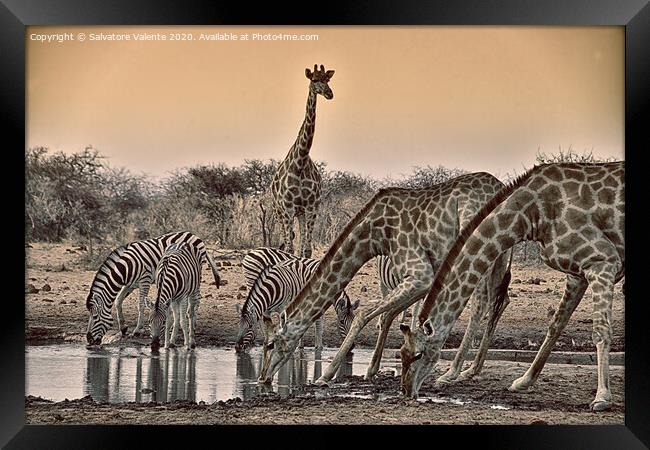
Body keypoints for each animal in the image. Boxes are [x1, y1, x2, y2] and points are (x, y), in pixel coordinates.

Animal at [85, 230, 220, 346]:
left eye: (95, 317)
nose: (89, 340)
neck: (127, 267)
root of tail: (194, 235)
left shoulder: (144, 280)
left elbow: (140, 305)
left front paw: (137, 330)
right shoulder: (129, 284)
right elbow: (118, 301)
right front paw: (123, 328)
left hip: (197, 275)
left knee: (196, 299)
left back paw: (193, 324)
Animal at [256, 172, 512, 386]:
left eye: (270, 344)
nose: (262, 377)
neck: (372, 235)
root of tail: (500, 187)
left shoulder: (420, 274)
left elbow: (365, 314)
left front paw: (326, 375)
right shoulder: (423, 278)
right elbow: (388, 315)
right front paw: (372, 370)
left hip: (479, 250)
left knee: (480, 302)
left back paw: (452, 372)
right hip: (501, 255)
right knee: (499, 301)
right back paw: (472, 369)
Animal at [268, 65, 334, 258]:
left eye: (328, 80)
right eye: (314, 80)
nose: (329, 93)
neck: (301, 162)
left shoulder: (311, 206)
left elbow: (306, 250)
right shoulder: (288, 207)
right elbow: (290, 248)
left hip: (300, 213)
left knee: (299, 241)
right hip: (278, 211)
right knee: (287, 242)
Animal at [400, 162, 624, 412]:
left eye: (418, 354)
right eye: (401, 354)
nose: (406, 391)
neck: (531, 215)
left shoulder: (602, 262)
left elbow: (601, 331)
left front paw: (602, 397)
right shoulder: (577, 274)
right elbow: (555, 325)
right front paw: (523, 381)